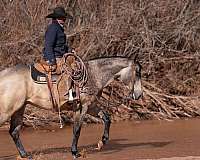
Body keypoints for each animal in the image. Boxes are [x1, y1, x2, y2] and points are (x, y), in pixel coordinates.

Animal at [0, 55, 143, 159]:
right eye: (137, 72)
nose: (139, 94)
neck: (93, 75)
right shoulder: (82, 108)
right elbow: (77, 130)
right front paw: (74, 152)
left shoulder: (91, 106)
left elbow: (107, 118)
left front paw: (102, 142)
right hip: (7, 110)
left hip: (19, 109)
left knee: (14, 132)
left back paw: (25, 155)